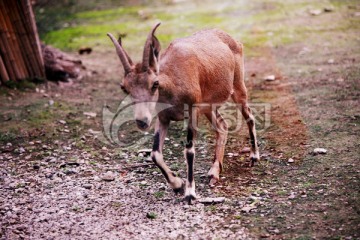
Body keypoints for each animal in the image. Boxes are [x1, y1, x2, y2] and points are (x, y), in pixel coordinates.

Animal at [107, 22, 258, 203]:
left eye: (155, 83)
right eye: (124, 87)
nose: (142, 121)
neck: (173, 83)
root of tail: (233, 40)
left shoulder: (192, 112)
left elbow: (189, 151)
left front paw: (190, 193)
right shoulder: (163, 117)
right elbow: (155, 153)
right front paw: (177, 184)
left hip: (238, 86)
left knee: (249, 116)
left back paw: (254, 157)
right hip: (208, 106)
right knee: (222, 126)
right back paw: (214, 172)